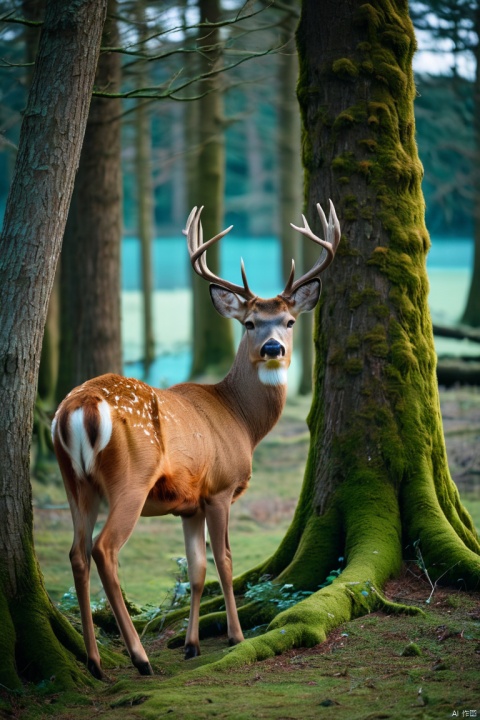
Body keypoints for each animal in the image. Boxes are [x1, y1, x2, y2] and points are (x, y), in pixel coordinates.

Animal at [52, 204, 342, 680]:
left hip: (75, 482)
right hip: (129, 481)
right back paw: (140, 658)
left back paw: (95, 662)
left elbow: (197, 569)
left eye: (289, 321)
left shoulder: (189, 503)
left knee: (76, 552)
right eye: (249, 323)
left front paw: (190, 645)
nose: (274, 348)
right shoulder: (221, 488)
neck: (241, 420)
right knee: (103, 549)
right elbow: (225, 560)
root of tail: (78, 408)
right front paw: (236, 636)